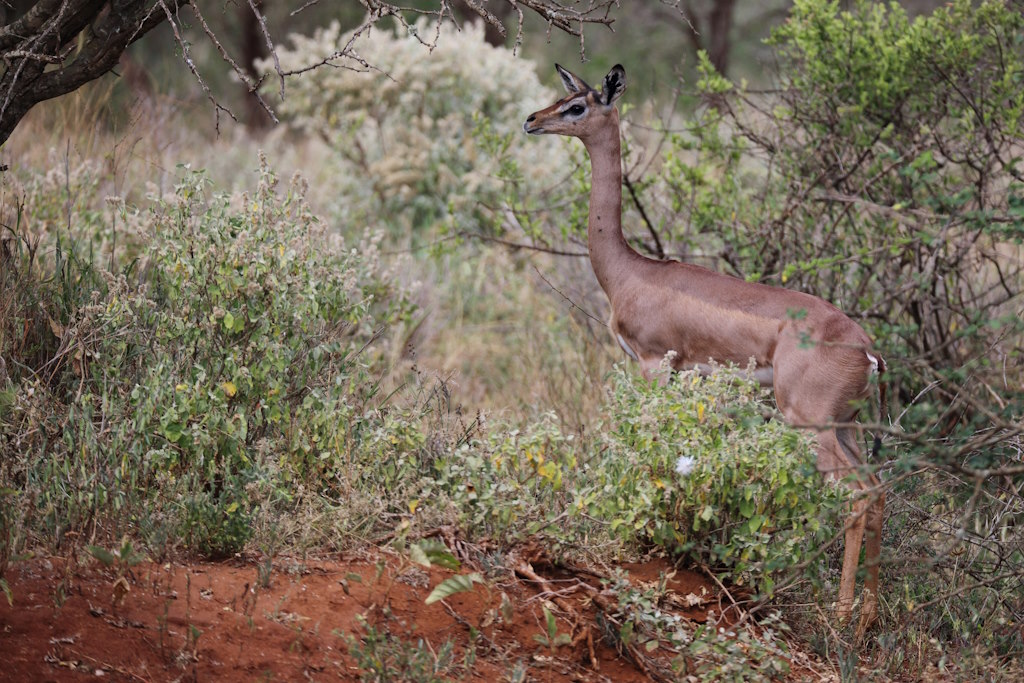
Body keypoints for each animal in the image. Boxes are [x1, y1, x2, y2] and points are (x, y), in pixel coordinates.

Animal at [524, 64, 885, 636]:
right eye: (564, 95)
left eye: (579, 105)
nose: (533, 119)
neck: (630, 272)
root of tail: (867, 351)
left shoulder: (653, 364)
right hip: (846, 426)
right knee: (877, 491)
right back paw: (868, 620)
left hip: (810, 424)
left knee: (855, 495)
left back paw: (842, 617)